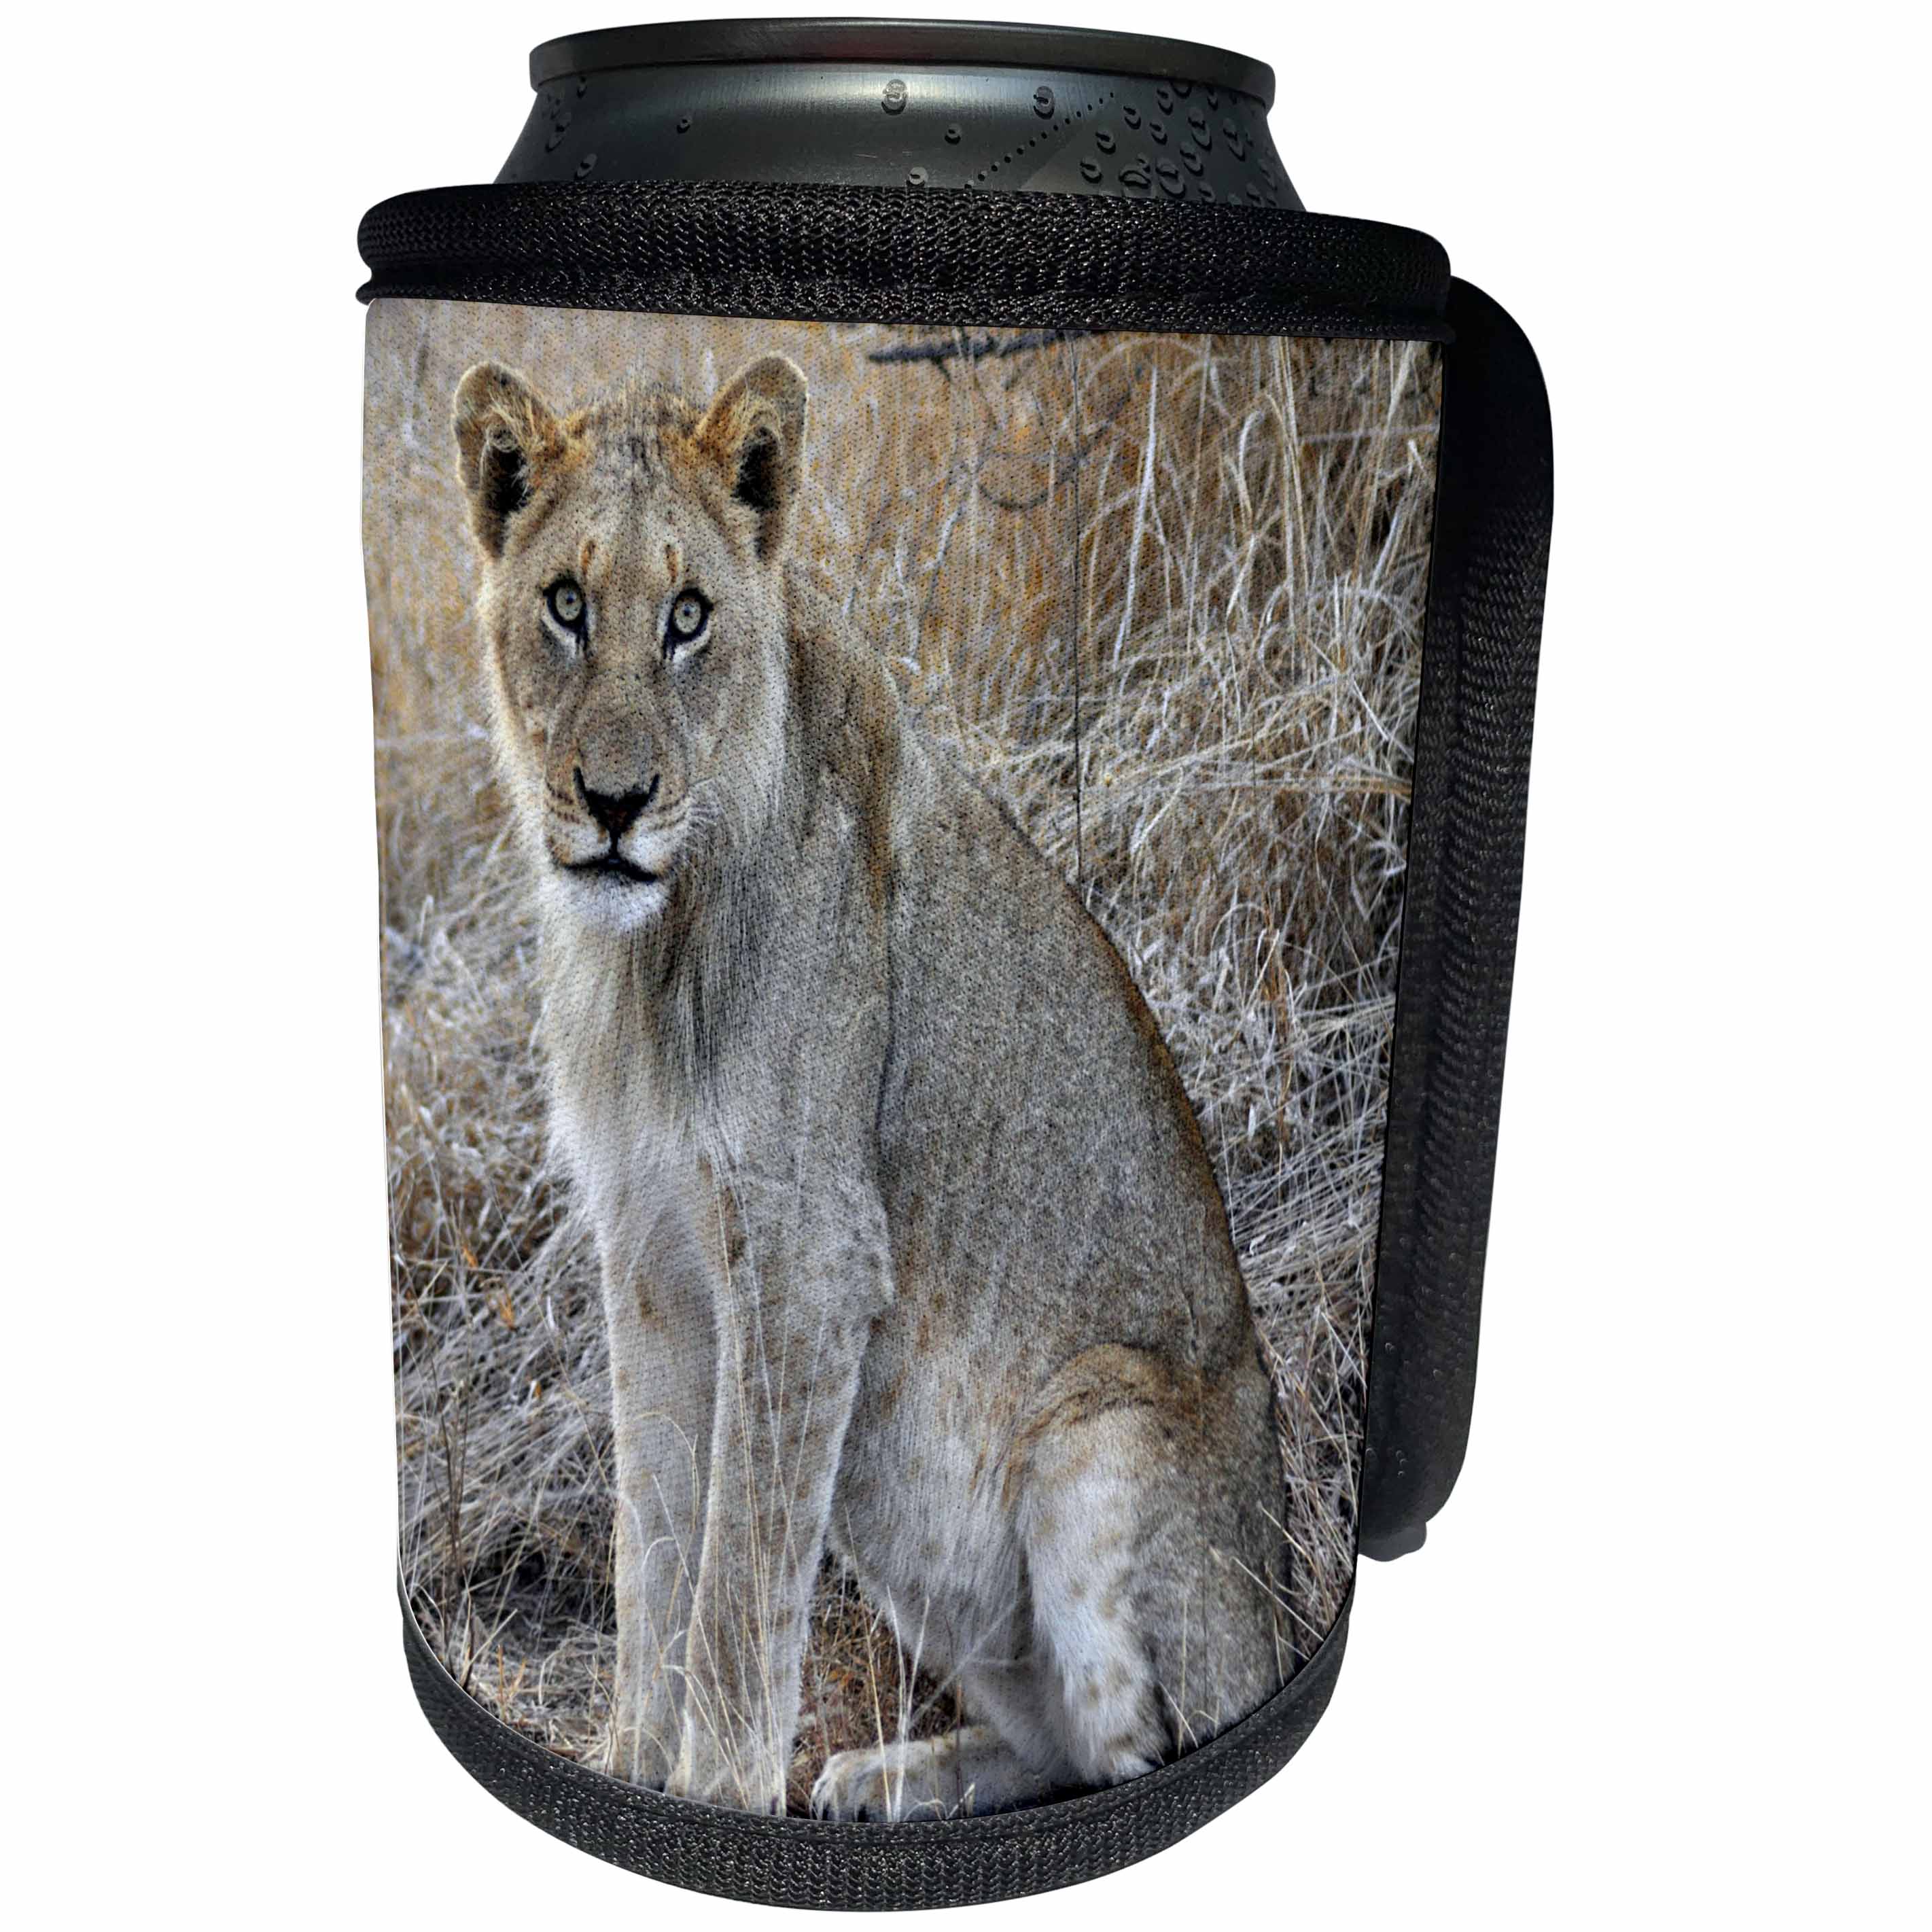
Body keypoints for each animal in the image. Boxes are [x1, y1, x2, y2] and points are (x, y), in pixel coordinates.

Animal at [451, 350, 1288, 1819]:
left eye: (687, 617)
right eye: (565, 604)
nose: (612, 803)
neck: (648, 953)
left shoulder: (806, 1252)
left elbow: (735, 1584)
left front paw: (715, 1799)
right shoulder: (645, 1250)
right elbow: (649, 1545)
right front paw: (627, 1771)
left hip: (1091, 1428)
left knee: (1136, 1747)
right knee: (1048, 1737)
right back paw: (882, 1778)